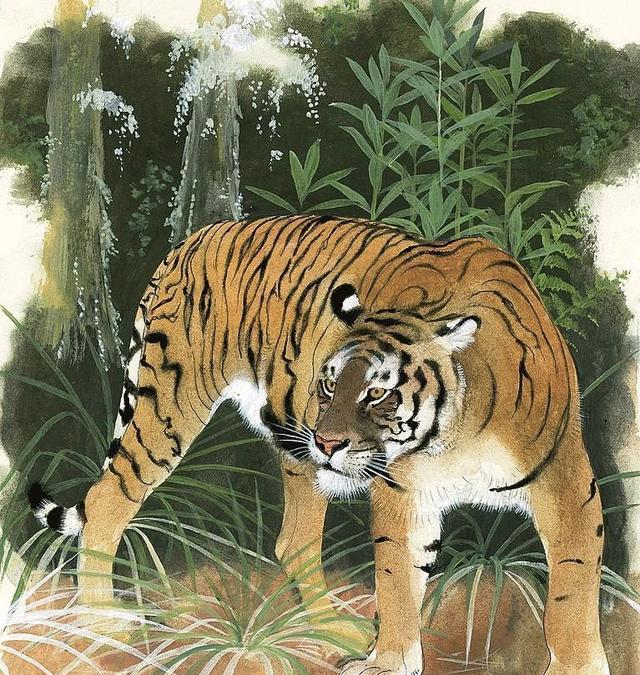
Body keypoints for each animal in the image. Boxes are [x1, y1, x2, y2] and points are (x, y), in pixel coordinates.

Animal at [29, 215, 609, 675]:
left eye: (377, 392)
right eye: (329, 384)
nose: (326, 440)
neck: (457, 431)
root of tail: (189, 243)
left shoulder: (567, 484)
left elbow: (573, 589)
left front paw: (578, 665)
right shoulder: (403, 493)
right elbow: (397, 581)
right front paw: (388, 663)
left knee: (292, 541)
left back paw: (331, 625)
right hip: (171, 408)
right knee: (108, 502)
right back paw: (101, 622)